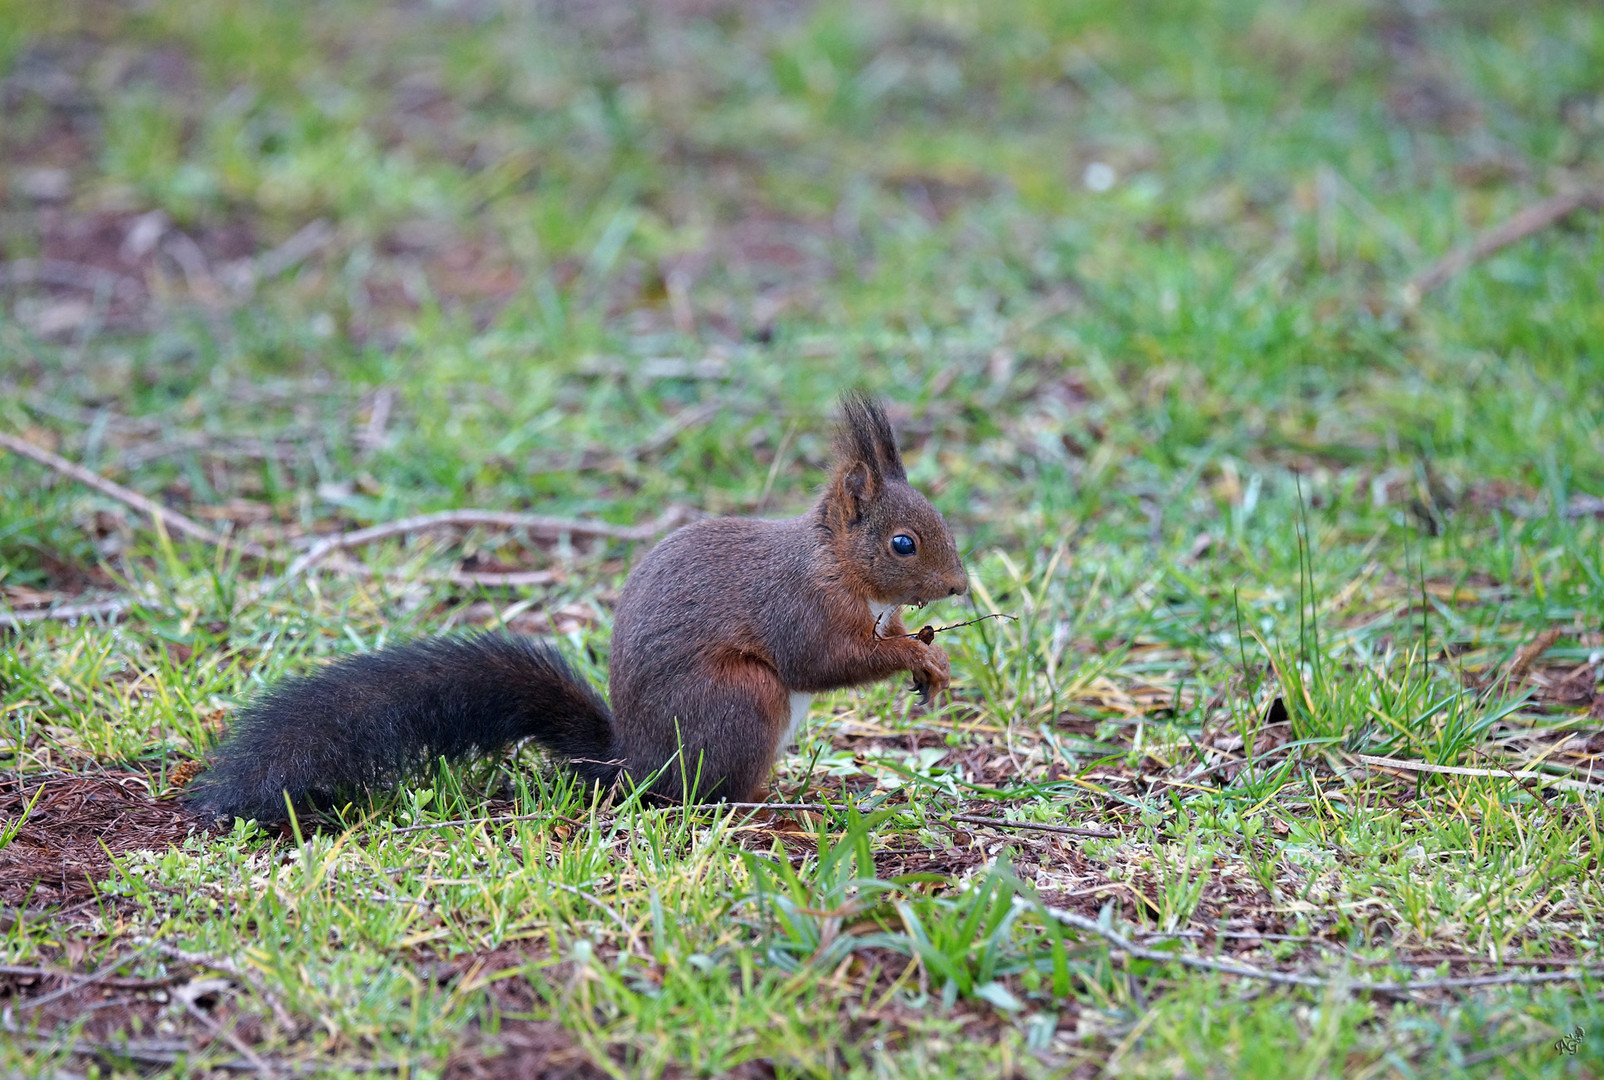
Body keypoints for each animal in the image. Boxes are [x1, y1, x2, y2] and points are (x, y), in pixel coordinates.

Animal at [187, 391, 962, 821]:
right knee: (706, 789)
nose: (957, 587)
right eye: (902, 543)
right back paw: (762, 802)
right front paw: (912, 655)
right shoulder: (796, 604)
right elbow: (822, 661)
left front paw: (931, 661)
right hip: (741, 700)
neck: (837, 564)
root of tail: (633, 763)